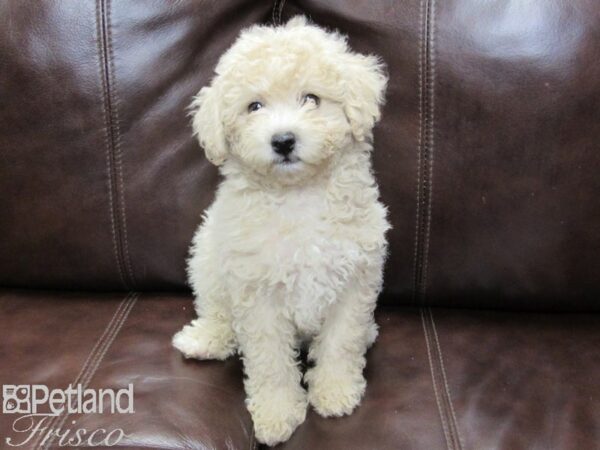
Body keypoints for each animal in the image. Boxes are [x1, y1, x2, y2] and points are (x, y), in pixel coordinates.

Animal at [173, 15, 390, 444]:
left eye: (312, 99)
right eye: (254, 106)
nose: (283, 140)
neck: (298, 196)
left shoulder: (354, 281)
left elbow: (341, 341)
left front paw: (335, 391)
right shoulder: (257, 295)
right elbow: (270, 359)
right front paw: (277, 413)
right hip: (206, 257)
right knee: (216, 309)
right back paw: (205, 338)